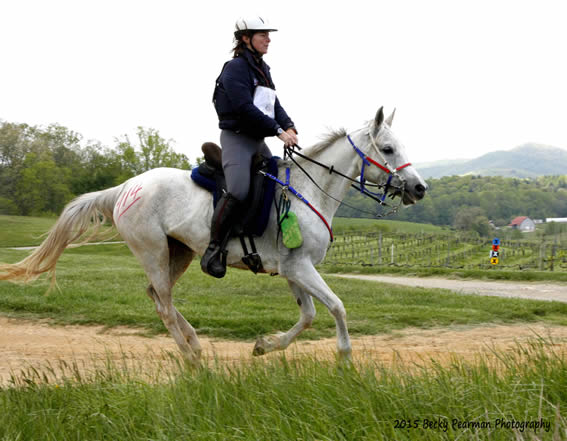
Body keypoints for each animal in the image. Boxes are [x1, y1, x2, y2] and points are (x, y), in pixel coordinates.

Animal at [0, 106, 426, 364]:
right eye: (388, 148)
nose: (419, 189)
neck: (309, 190)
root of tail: (125, 188)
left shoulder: (293, 269)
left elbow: (307, 316)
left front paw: (265, 345)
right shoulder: (301, 268)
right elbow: (336, 306)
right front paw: (345, 360)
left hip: (180, 253)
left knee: (157, 297)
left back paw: (194, 344)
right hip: (153, 252)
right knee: (163, 304)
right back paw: (191, 359)